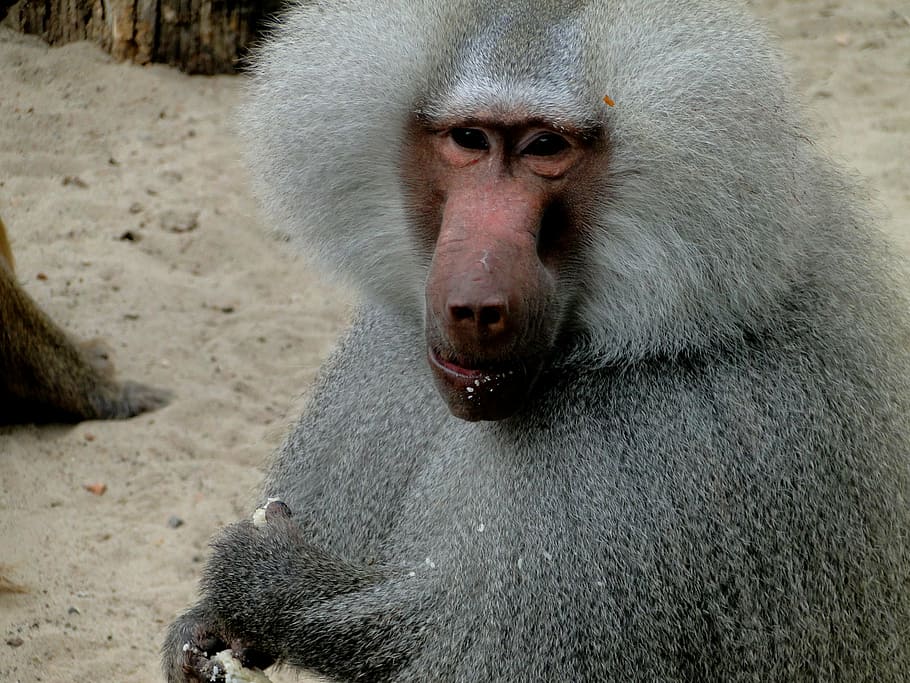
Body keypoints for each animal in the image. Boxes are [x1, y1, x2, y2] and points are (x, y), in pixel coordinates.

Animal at [163, 0, 910, 681]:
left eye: (545, 148)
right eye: (469, 139)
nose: (474, 305)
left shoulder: (648, 472)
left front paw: (267, 583)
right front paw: (205, 631)